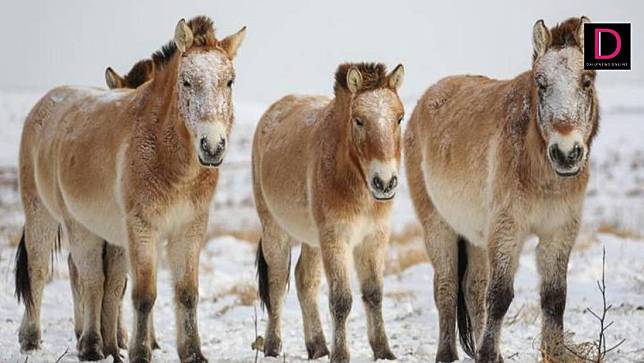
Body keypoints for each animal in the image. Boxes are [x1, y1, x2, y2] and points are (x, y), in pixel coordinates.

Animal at [15, 15, 247, 362]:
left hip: (92, 228)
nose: (213, 146)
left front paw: (192, 352)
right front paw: (139, 351)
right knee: (53, 273)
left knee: (96, 281)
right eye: (186, 82)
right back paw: (58, 342)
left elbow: (186, 293)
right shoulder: (142, 228)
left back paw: (100, 343)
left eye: (229, 82)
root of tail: (44, 106)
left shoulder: (189, 229)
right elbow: (143, 294)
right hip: (49, 216)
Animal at [254, 63, 406, 363]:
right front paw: (340, 355)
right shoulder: (336, 238)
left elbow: (373, 293)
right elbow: (341, 300)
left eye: (399, 118)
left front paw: (383, 351)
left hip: (312, 241)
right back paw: (273, 347)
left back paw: (317, 346)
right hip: (276, 231)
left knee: (305, 281)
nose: (384, 182)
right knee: (277, 285)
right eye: (358, 120)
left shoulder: (374, 238)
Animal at [406, 15, 596, 362]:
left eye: (586, 81)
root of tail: (424, 102)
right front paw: (485, 354)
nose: (566, 153)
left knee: (473, 287)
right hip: (438, 227)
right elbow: (500, 295)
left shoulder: (559, 232)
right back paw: (446, 354)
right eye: (541, 83)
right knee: (446, 288)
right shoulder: (508, 229)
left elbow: (554, 297)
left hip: (476, 234)